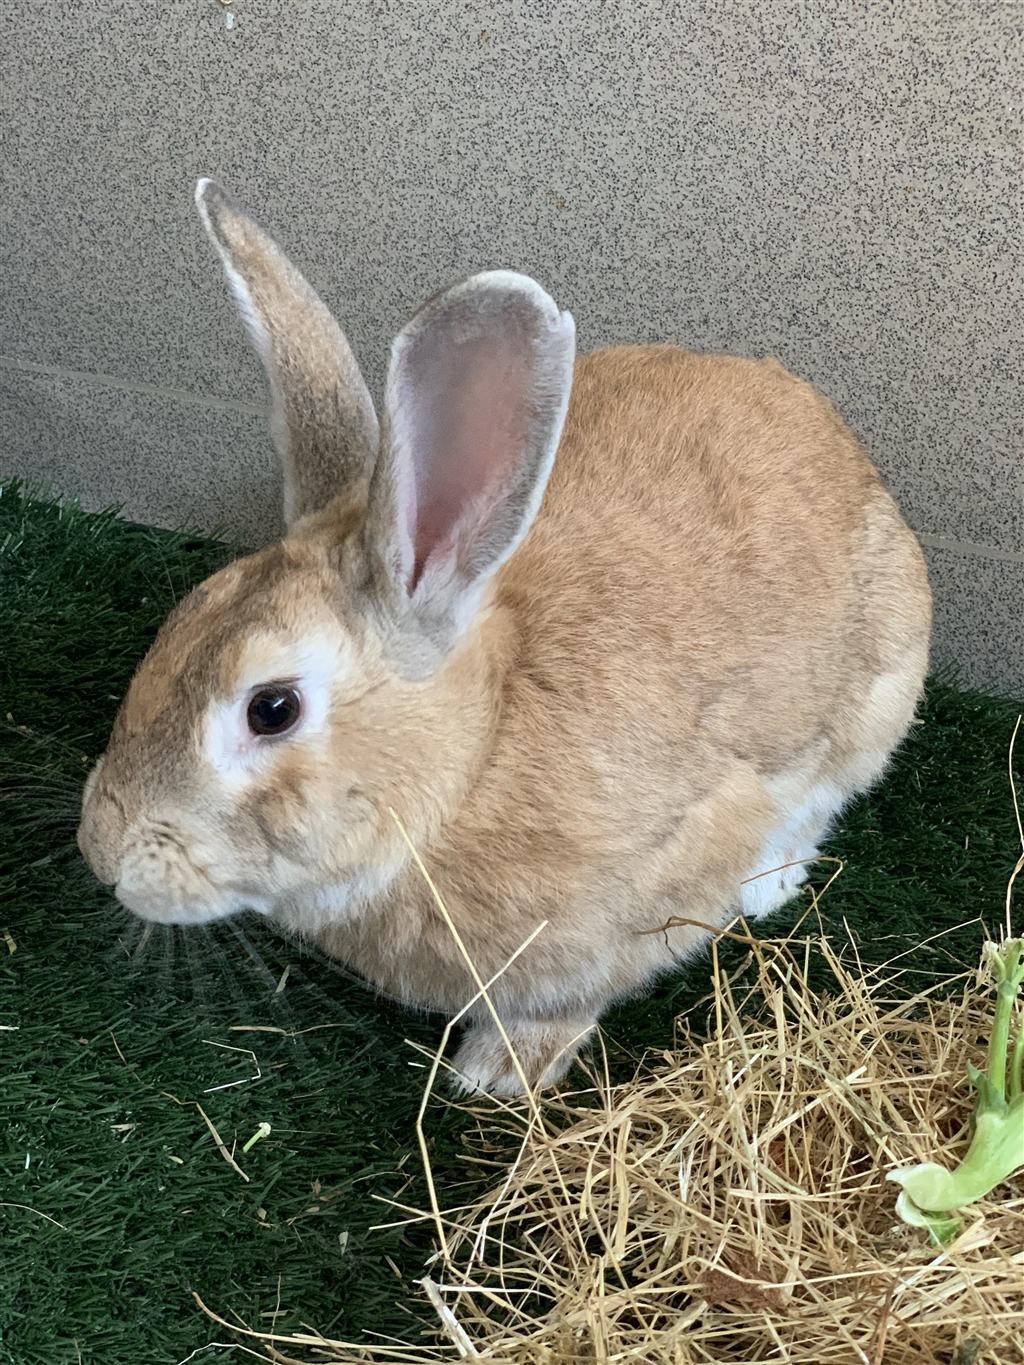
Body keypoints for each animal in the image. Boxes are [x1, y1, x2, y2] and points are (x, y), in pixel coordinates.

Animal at [77, 178, 932, 1095]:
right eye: (181, 619)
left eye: (272, 708)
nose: (103, 851)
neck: (471, 765)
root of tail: (845, 441)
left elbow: (571, 1002)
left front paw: (494, 1074)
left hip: (874, 705)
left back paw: (769, 886)